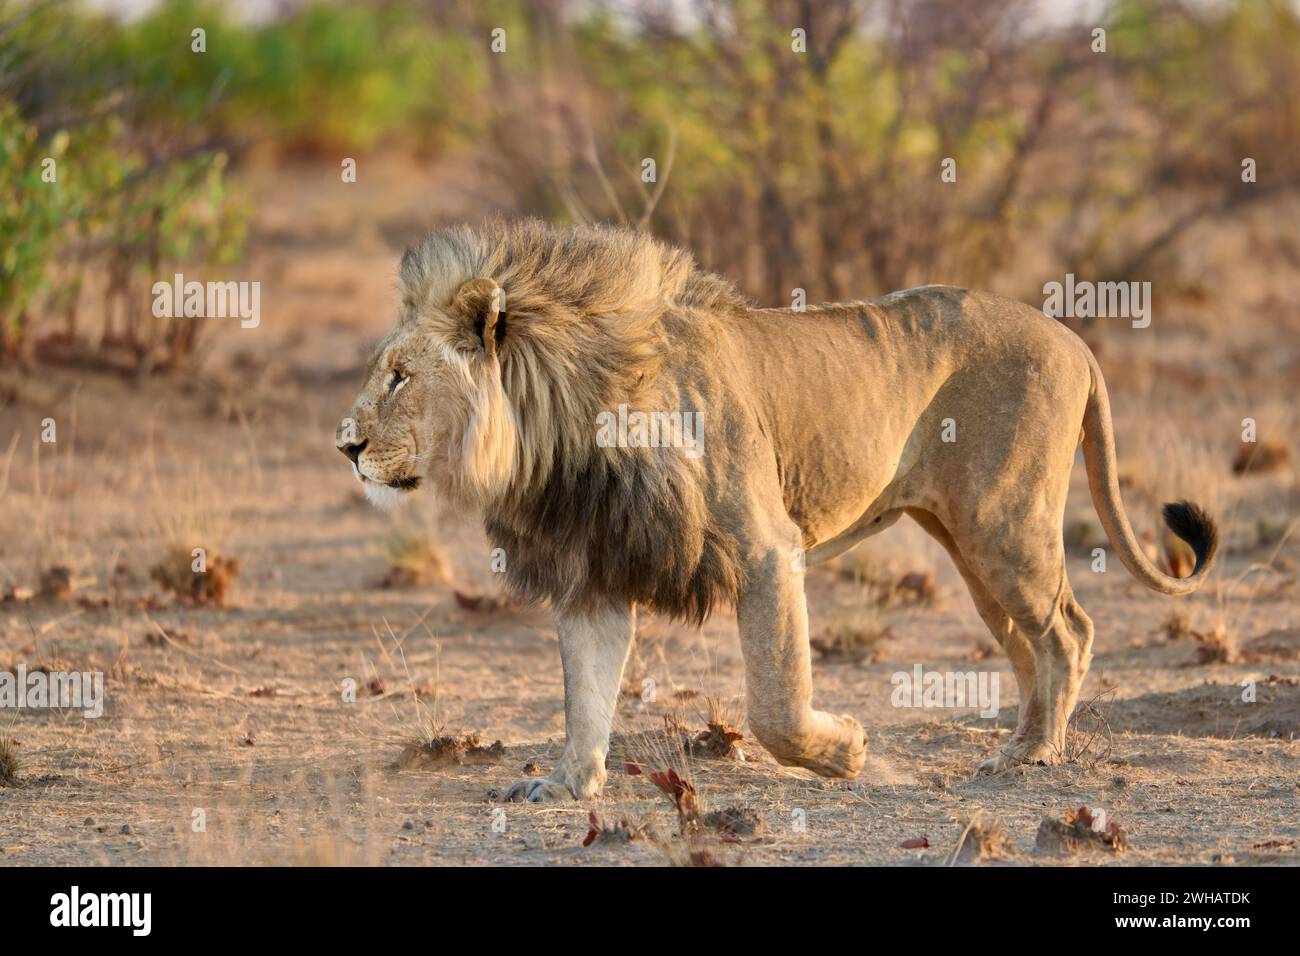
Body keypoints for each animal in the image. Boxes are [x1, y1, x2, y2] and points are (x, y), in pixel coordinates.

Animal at [338, 221, 1216, 806]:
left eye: (400, 376)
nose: (345, 445)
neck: (563, 434)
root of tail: (1074, 339)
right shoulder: (597, 569)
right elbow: (584, 695)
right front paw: (565, 785)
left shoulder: (765, 548)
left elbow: (774, 704)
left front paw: (847, 752)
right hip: (970, 545)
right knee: (1030, 642)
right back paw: (1020, 744)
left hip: (1005, 524)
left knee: (1070, 630)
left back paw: (1037, 756)